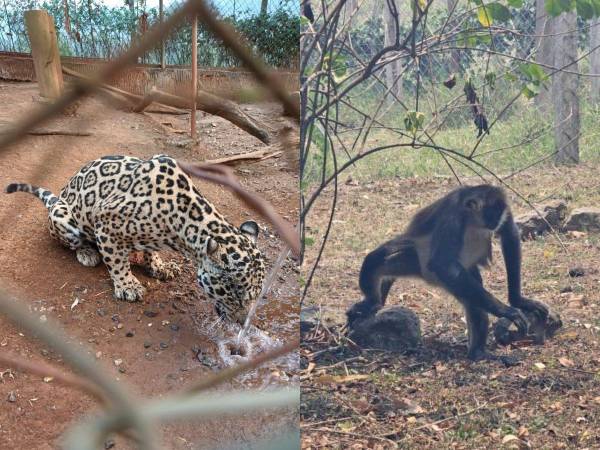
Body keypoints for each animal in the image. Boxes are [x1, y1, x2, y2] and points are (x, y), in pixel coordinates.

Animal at [346, 184, 548, 362]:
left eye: (499, 214)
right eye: (490, 214)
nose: (495, 222)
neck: (471, 219)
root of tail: (429, 278)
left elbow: (510, 234)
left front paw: (519, 301)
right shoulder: (452, 214)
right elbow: (442, 263)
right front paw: (506, 310)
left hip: (459, 278)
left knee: (474, 302)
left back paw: (478, 353)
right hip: (420, 264)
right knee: (375, 260)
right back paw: (372, 302)